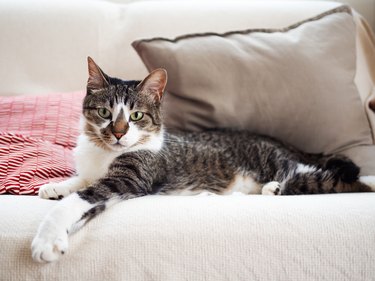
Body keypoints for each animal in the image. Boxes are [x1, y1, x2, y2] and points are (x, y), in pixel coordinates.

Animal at [31, 55, 375, 262]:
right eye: (104, 112)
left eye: (136, 116)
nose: (117, 133)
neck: (104, 152)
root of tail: (280, 143)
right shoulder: (95, 167)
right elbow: (82, 181)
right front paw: (56, 185)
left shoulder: (132, 177)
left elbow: (83, 197)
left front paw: (47, 240)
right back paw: (271, 189)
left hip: (280, 163)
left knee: (324, 178)